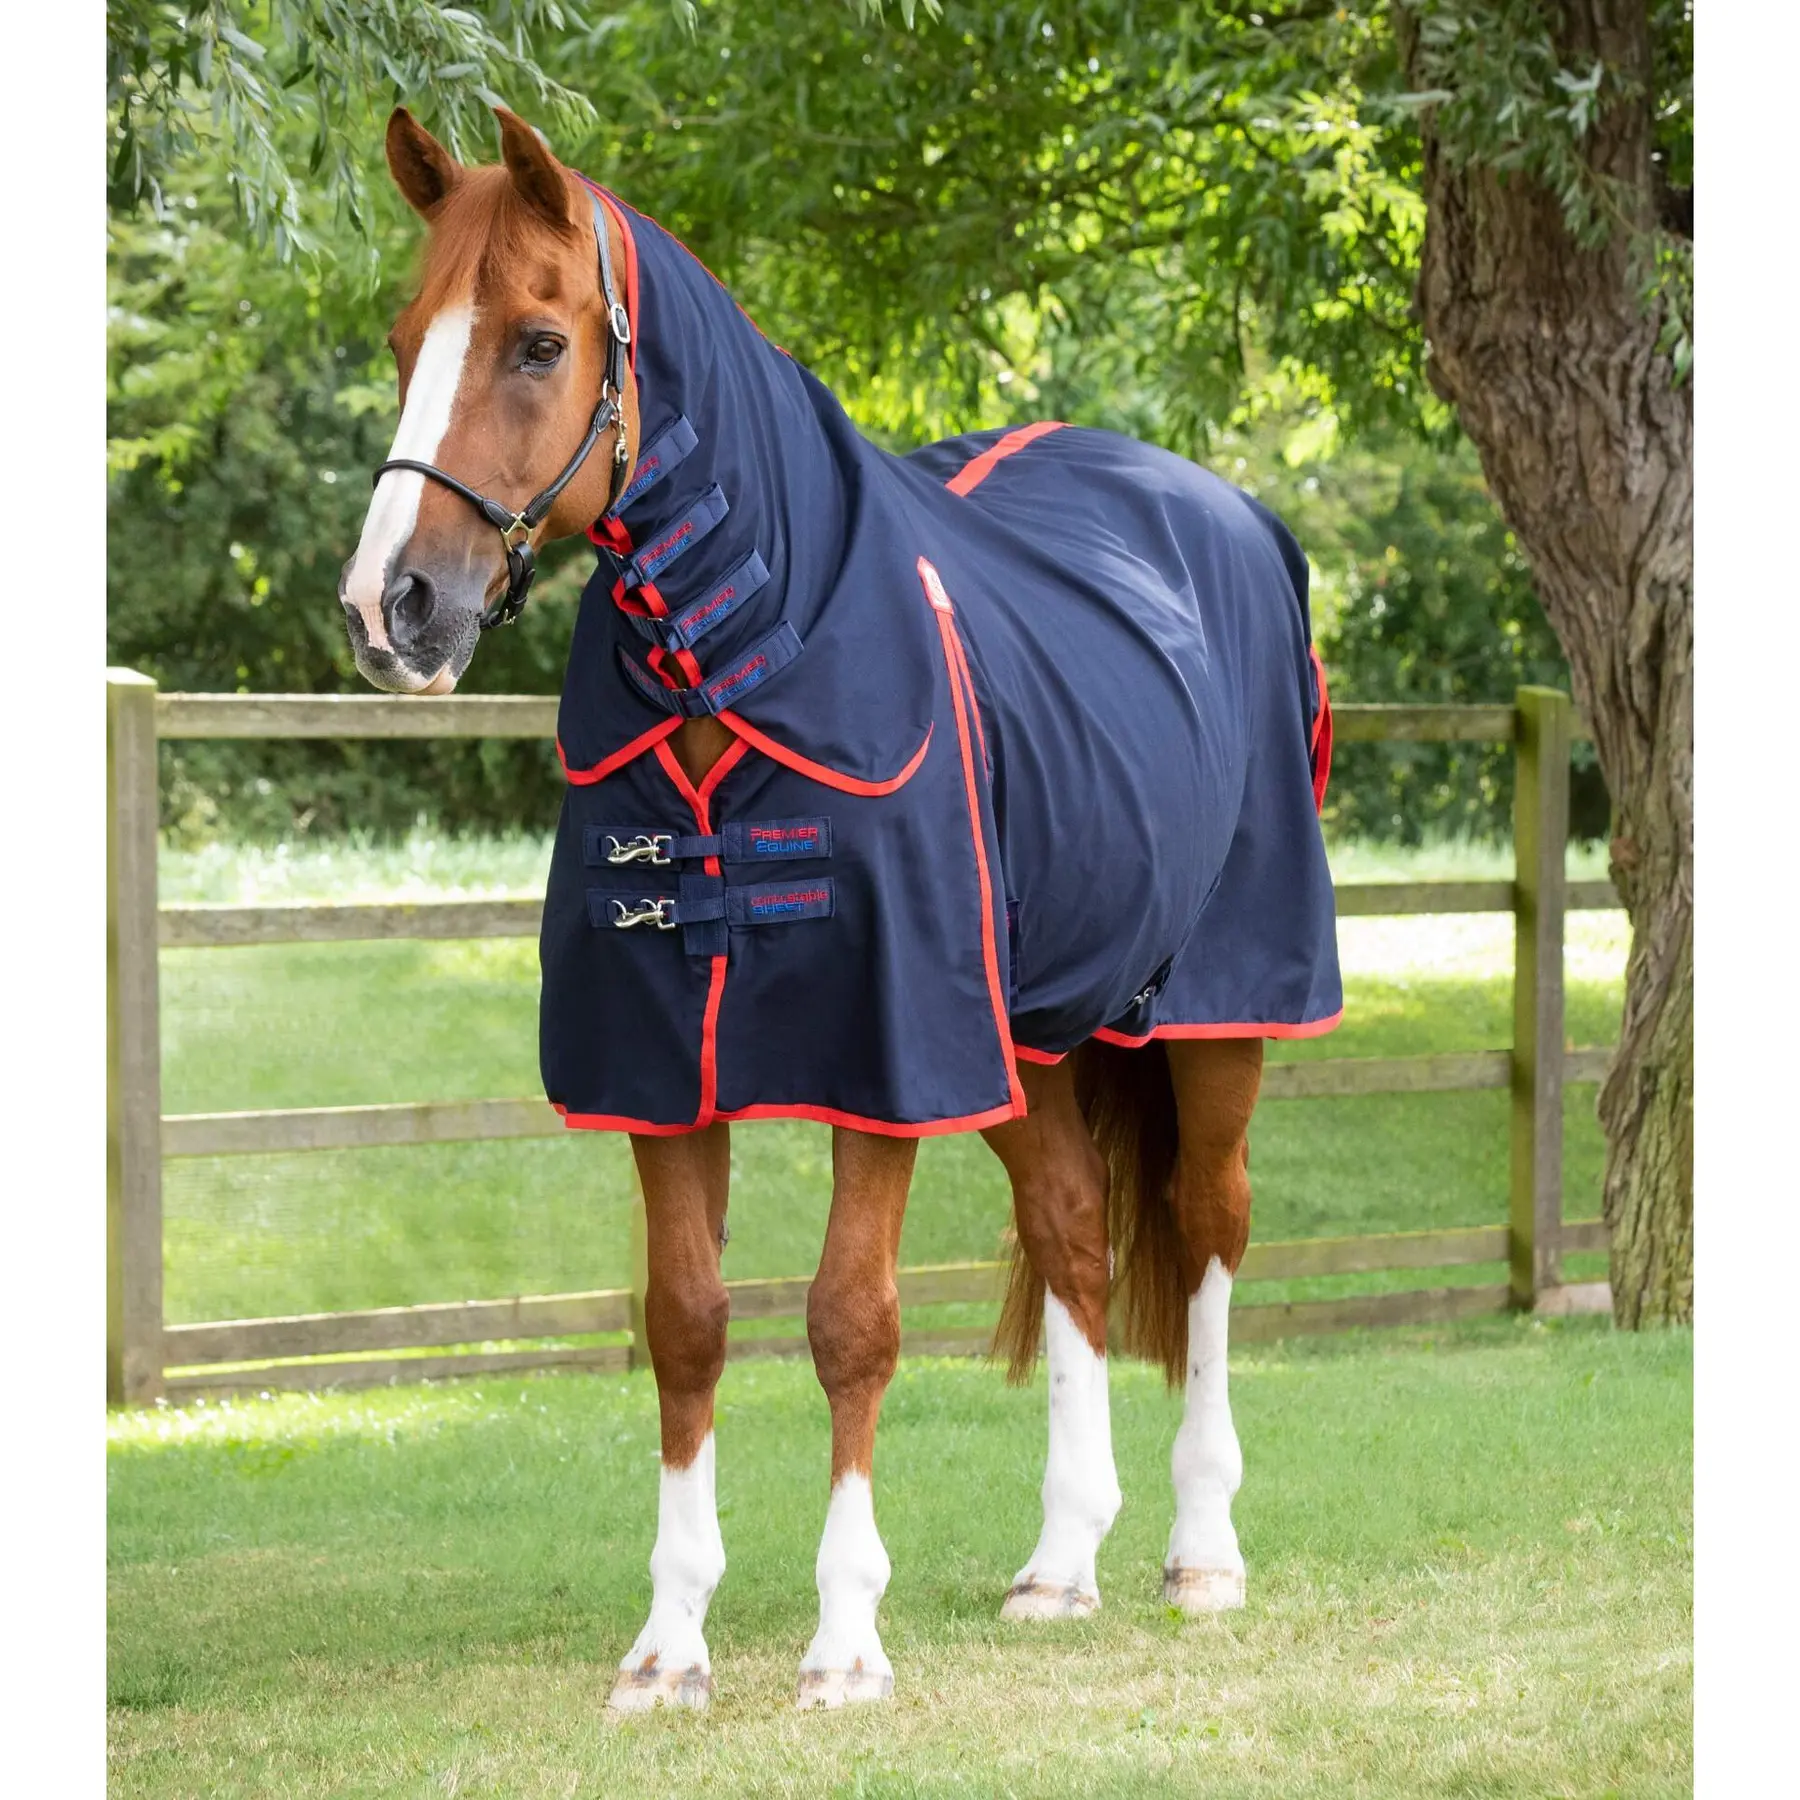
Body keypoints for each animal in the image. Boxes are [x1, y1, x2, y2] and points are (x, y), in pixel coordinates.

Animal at [339, 106, 1342, 1713]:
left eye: (541, 343)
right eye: (400, 340)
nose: (392, 609)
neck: (756, 652)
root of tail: (1218, 512)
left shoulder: (887, 1054)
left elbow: (850, 1323)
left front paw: (844, 1641)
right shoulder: (668, 1067)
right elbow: (686, 1328)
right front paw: (669, 1647)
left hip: (1212, 1015)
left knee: (1204, 1233)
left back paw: (1202, 1553)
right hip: (1027, 1035)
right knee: (1073, 1230)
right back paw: (1062, 1562)